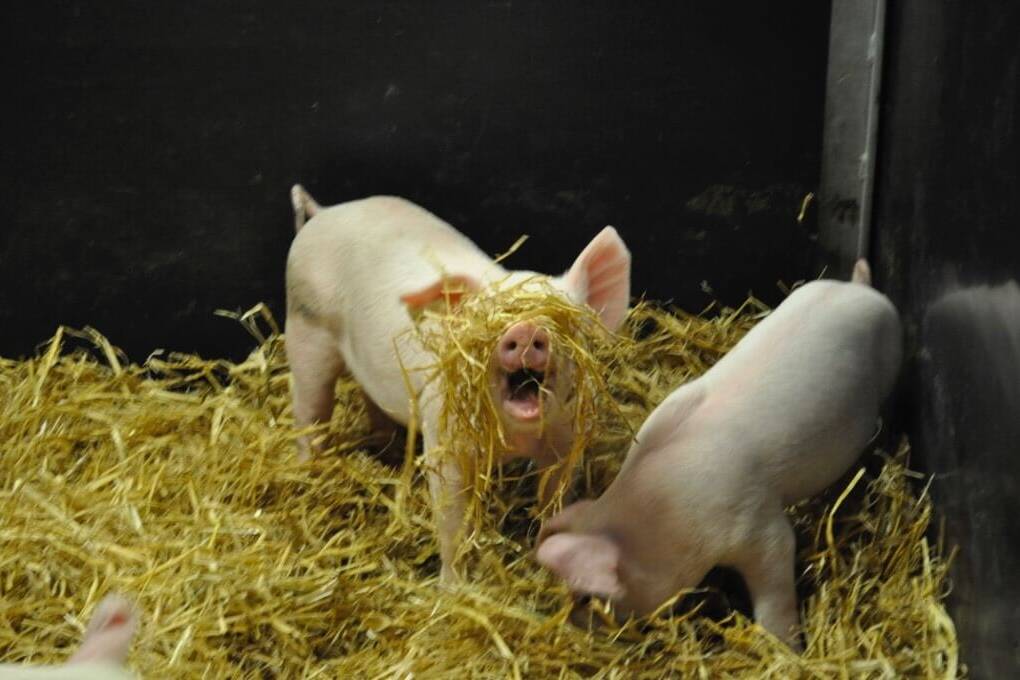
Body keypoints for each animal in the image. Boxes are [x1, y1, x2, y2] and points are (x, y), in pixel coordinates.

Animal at [281, 187, 628, 587]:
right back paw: (311, 470)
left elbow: (554, 500)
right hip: (306, 329)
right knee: (309, 410)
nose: (527, 330)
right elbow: (451, 519)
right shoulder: (444, 438)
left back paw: (386, 454)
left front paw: (546, 566)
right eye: (486, 319)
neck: (514, 438)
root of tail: (325, 212)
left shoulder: (564, 440)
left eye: (565, 320)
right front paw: (453, 589)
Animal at [534, 258, 901, 648]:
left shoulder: (754, 524)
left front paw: (788, 649)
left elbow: (777, 573)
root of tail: (860, 289)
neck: (661, 512)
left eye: (589, 598)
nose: (571, 625)